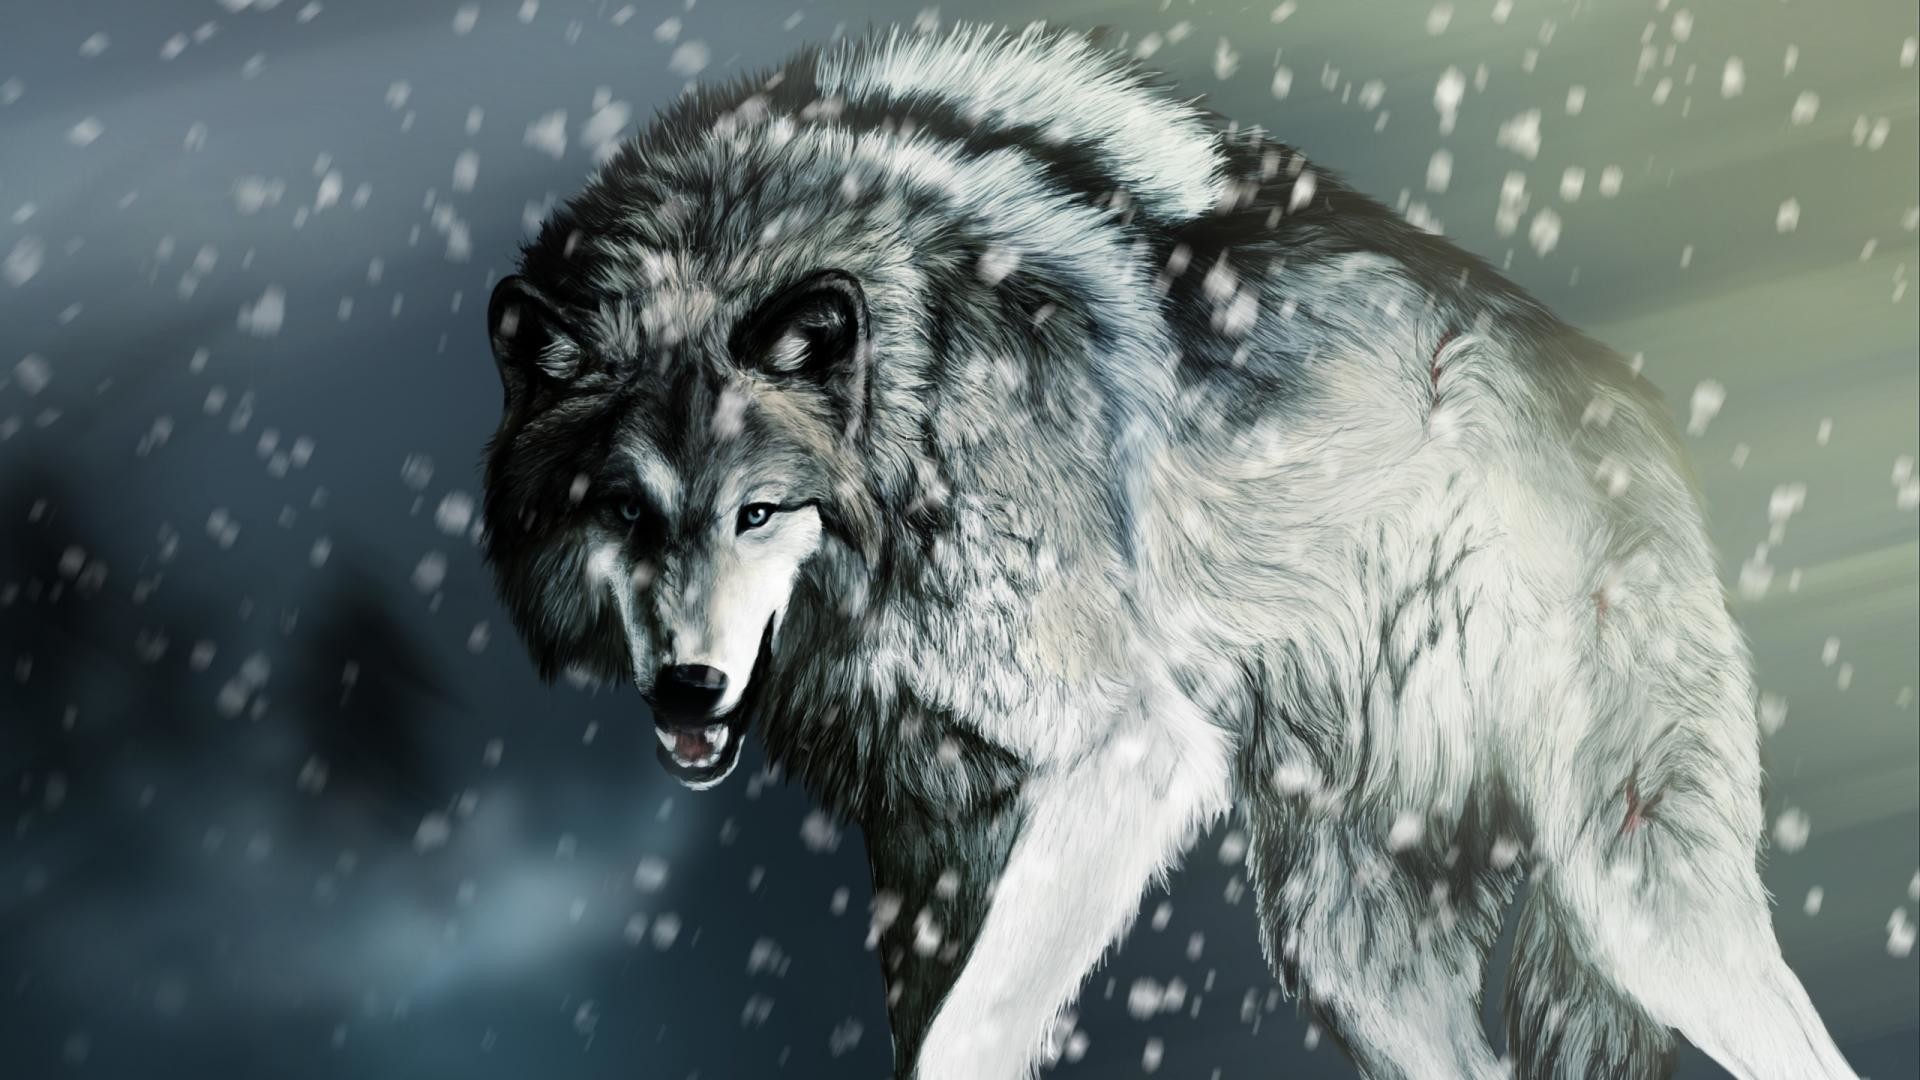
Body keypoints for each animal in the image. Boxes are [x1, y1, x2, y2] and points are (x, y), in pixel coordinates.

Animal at [477, 22, 1858, 1080]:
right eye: (625, 512)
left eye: (759, 512)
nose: (688, 689)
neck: (915, 404)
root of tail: (1625, 394)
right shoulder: (929, 846)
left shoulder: (1127, 753)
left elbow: (970, 1035)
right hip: (1343, 951)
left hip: (1635, 900)